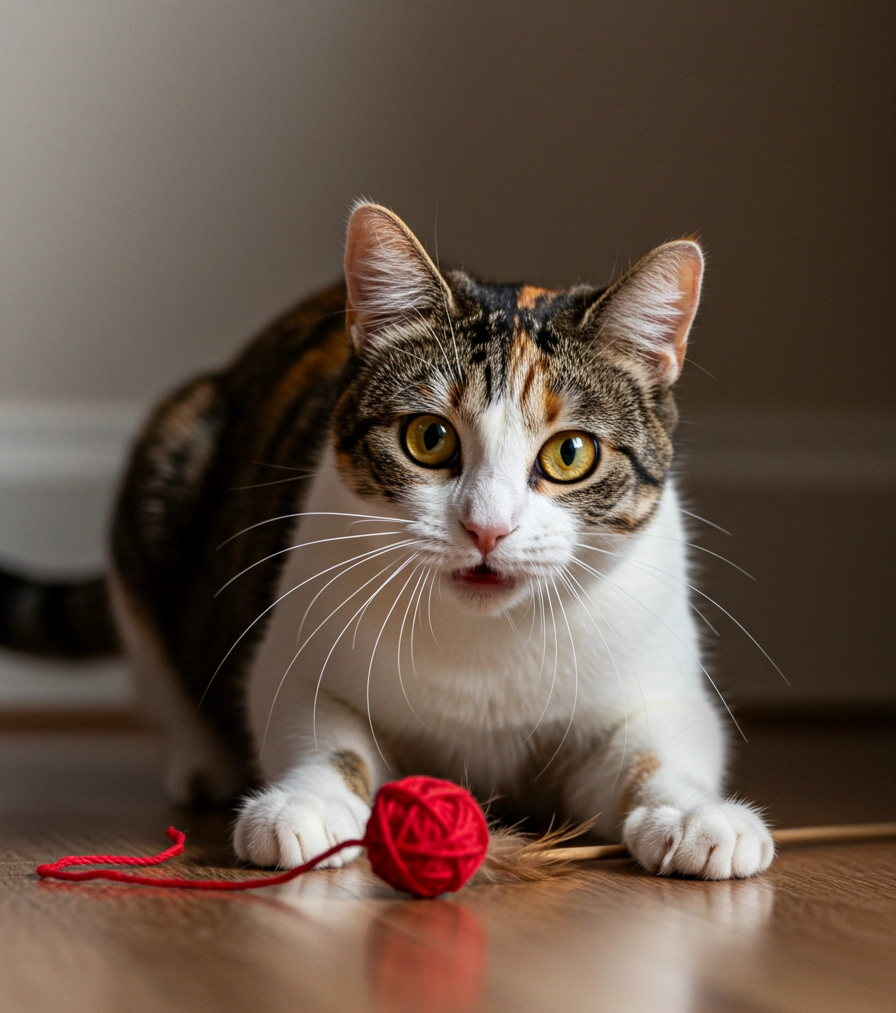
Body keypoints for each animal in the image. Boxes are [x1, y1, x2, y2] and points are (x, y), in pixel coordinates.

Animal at [0, 199, 773, 879]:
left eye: (570, 453)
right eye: (429, 438)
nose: (487, 526)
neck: (487, 649)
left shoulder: (657, 686)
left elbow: (655, 753)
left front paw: (699, 815)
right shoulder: (298, 652)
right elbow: (321, 731)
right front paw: (307, 805)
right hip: (171, 452)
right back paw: (203, 761)